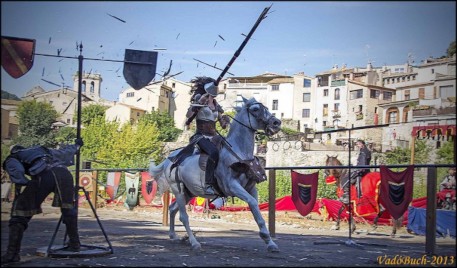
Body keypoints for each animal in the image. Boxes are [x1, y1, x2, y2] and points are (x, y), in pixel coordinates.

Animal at [149, 98, 282, 251]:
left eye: (266, 107)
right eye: (255, 109)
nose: (276, 123)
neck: (239, 153)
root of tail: (168, 159)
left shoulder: (250, 187)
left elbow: (256, 208)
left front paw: (270, 242)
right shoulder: (232, 186)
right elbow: (253, 203)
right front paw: (266, 237)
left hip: (189, 192)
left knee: (172, 209)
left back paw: (173, 235)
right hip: (178, 189)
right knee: (183, 216)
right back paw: (194, 242)